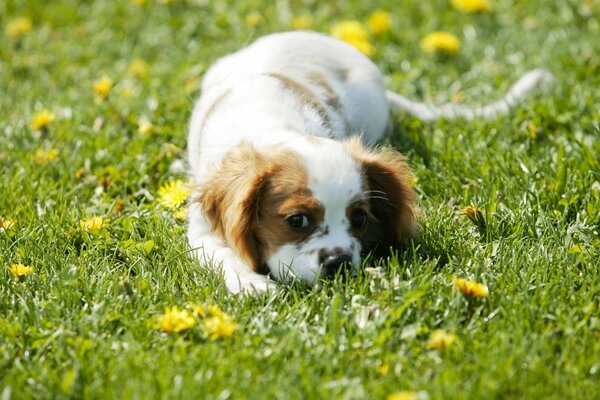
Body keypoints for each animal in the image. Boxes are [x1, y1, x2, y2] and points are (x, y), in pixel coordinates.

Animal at [188, 30, 552, 294]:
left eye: (360, 218)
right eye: (297, 221)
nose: (338, 262)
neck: (276, 125)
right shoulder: (201, 228)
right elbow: (223, 253)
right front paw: (252, 284)